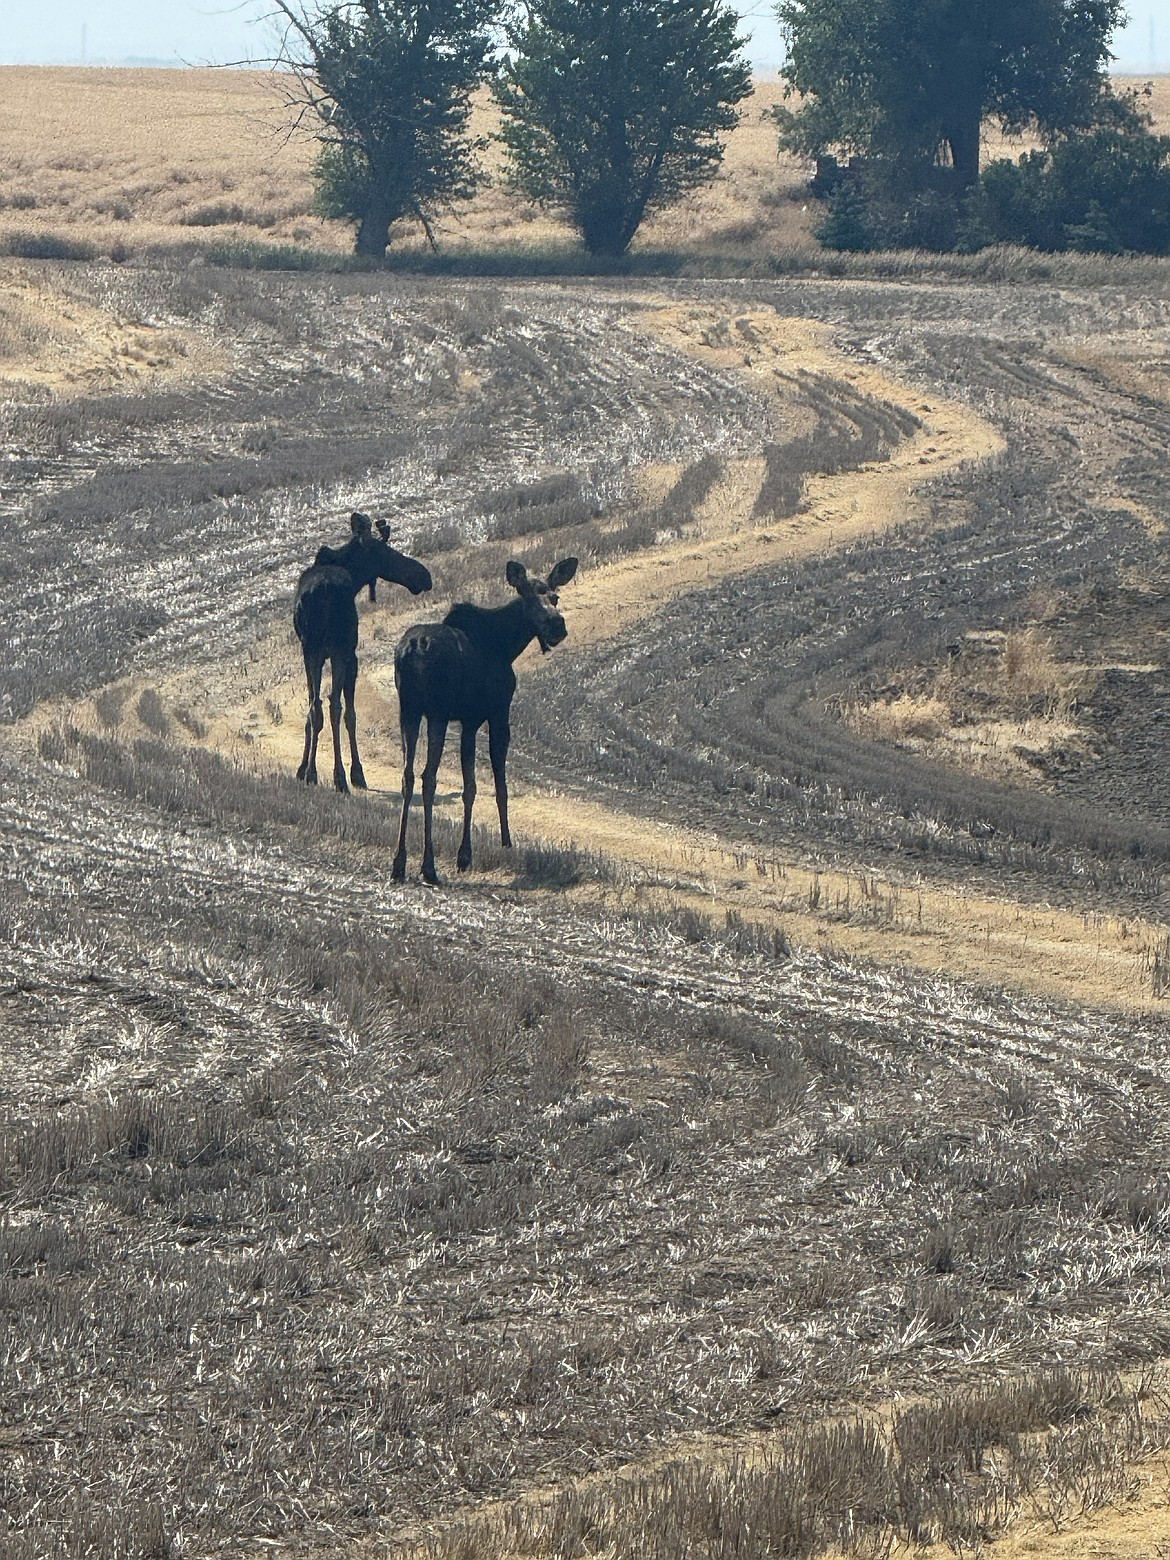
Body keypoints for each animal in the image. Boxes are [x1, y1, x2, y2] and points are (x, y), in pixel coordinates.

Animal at [294, 512, 432, 793]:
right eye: (387, 551)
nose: (424, 576)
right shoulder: (351, 655)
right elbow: (350, 714)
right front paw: (356, 772)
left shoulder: (309, 651)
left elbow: (311, 710)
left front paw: (302, 769)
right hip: (340, 649)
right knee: (334, 706)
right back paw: (339, 777)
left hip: (313, 648)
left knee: (316, 706)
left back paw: (313, 773)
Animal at [391, 557, 579, 884]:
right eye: (528, 599)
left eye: (555, 597)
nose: (557, 626)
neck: (507, 646)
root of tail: (412, 650)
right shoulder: (495, 713)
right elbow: (495, 785)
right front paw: (500, 844)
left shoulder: (467, 721)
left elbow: (470, 787)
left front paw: (465, 853)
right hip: (436, 712)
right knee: (428, 777)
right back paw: (428, 866)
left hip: (409, 710)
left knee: (408, 775)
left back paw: (399, 863)